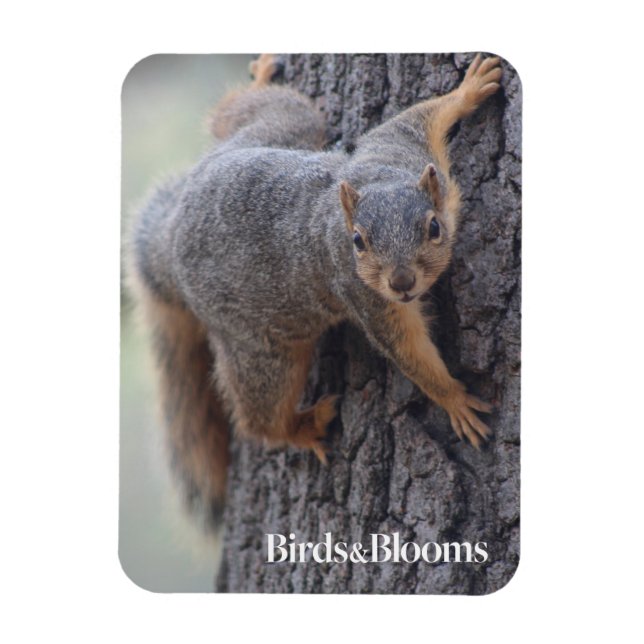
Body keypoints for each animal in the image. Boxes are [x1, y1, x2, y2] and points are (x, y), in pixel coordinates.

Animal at [128, 53, 503, 521]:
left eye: (433, 228)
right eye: (358, 241)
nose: (401, 283)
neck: (380, 180)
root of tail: (172, 236)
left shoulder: (400, 147)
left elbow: (419, 116)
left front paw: (469, 88)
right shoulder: (365, 297)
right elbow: (408, 351)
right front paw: (453, 399)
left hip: (280, 129)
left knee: (242, 114)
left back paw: (259, 79)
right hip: (262, 350)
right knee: (259, 416)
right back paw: (301, 428)